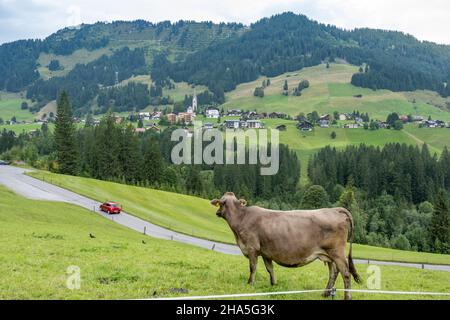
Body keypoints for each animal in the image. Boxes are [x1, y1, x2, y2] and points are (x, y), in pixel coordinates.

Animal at [211, 192, 362, 300]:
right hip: (328, 254)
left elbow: (253, 268)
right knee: (334, 272)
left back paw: (347, 297)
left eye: (220, 203)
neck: (241, 218)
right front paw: (273, 285)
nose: (217, 213)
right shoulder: (266, 252)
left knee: (346, 273)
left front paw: (249, 284)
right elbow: (270, 269)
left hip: (337, 252)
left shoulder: (252, 249)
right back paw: (325, 294)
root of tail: (335, 209)